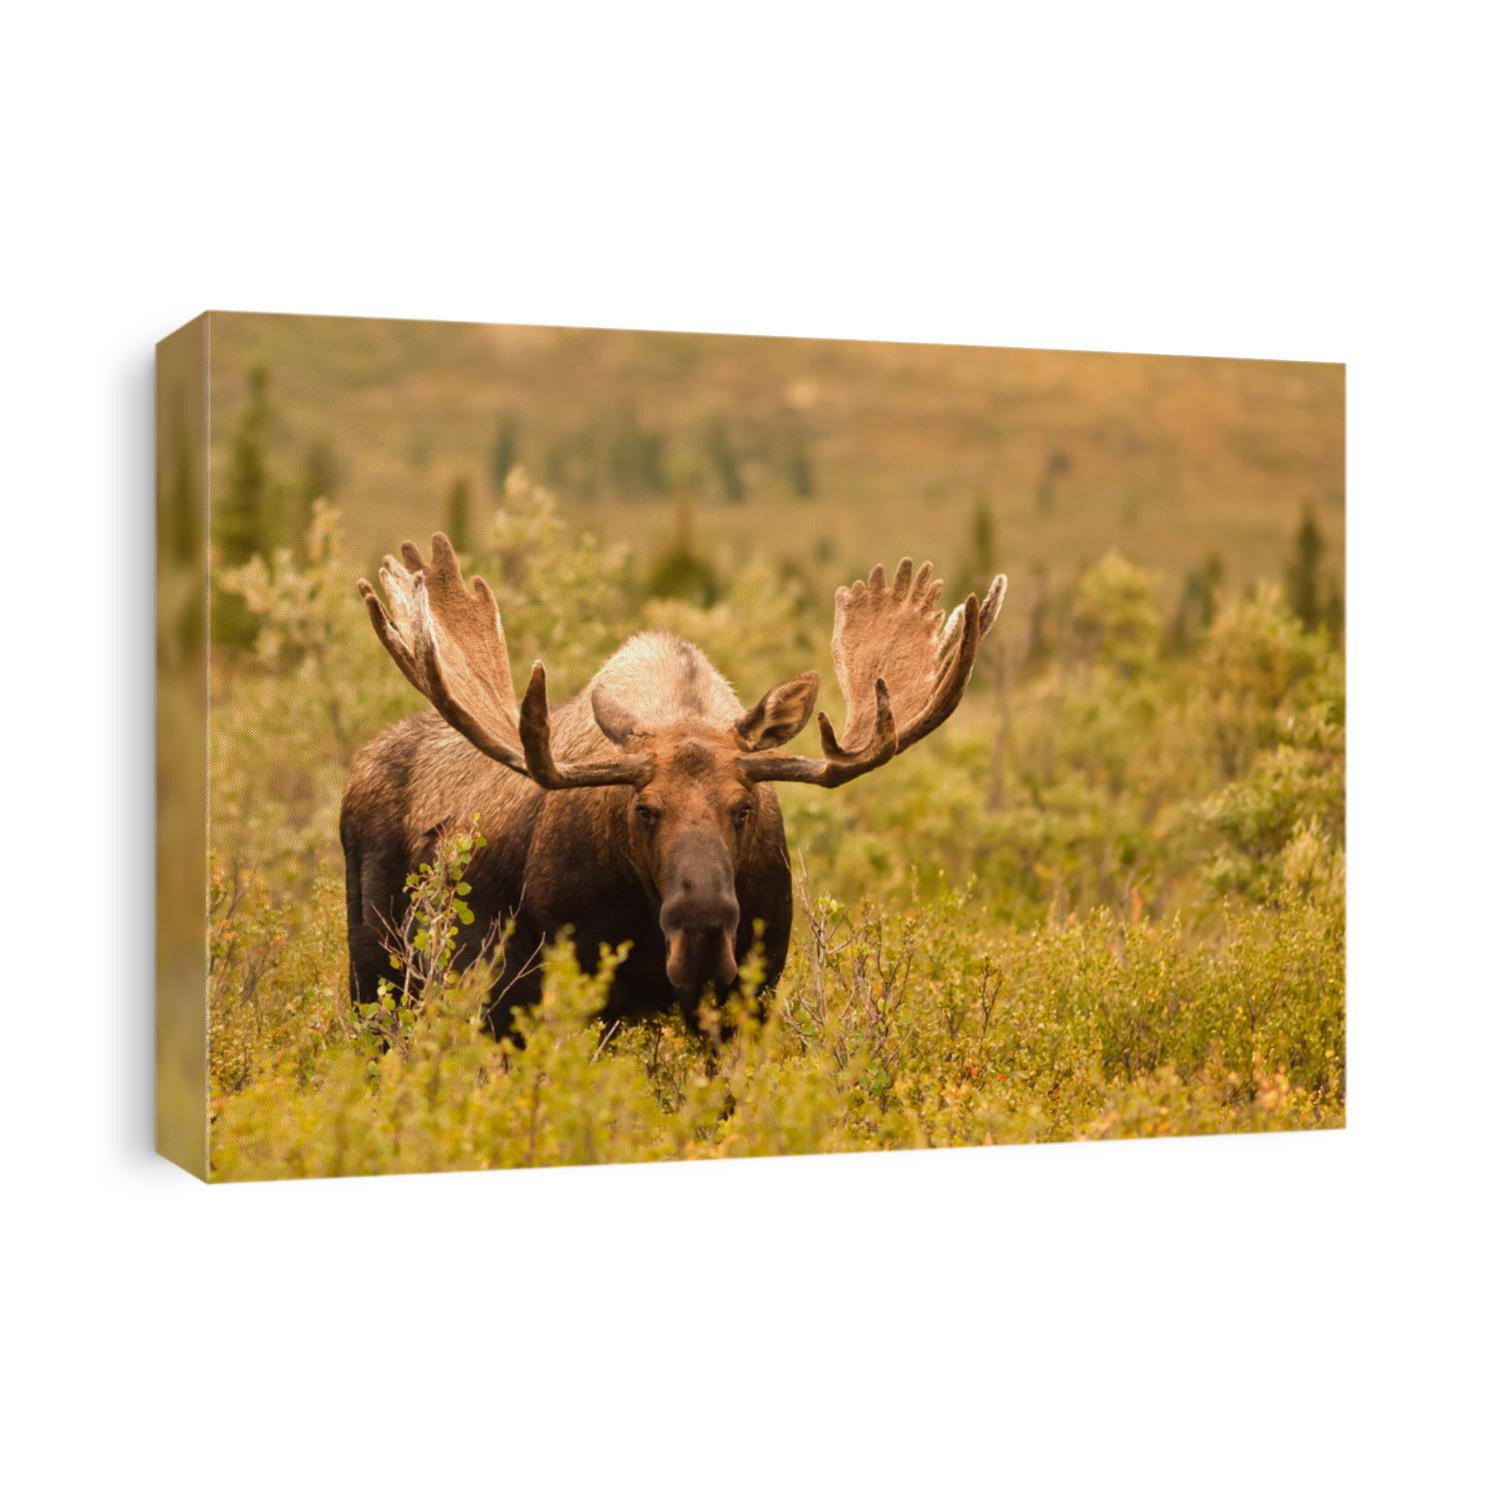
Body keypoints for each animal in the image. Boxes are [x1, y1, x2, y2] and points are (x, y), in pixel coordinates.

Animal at [340, 532, 1006, 1039]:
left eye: (744, 808)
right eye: (645, 809)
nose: (703, 927)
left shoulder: (746, 998)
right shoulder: (548, 996)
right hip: (378, 970)